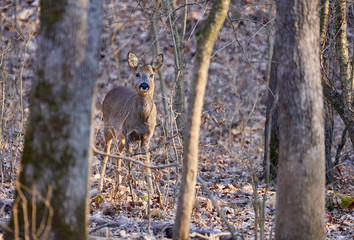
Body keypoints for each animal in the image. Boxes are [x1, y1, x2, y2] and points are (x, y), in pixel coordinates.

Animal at [99, 51, 164, 192]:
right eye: (137, 74)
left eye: (151, 74)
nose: (144, 85)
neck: (141, 120)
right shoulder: (129, 133)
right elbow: (128, 161)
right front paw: (130, 188)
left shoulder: (147, 137)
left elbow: (146, 163)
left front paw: (151, 191)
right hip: (107, 126)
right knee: (106, 154)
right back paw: (101, 186)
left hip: (121, 135)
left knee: (117, 151)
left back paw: (118, 185)